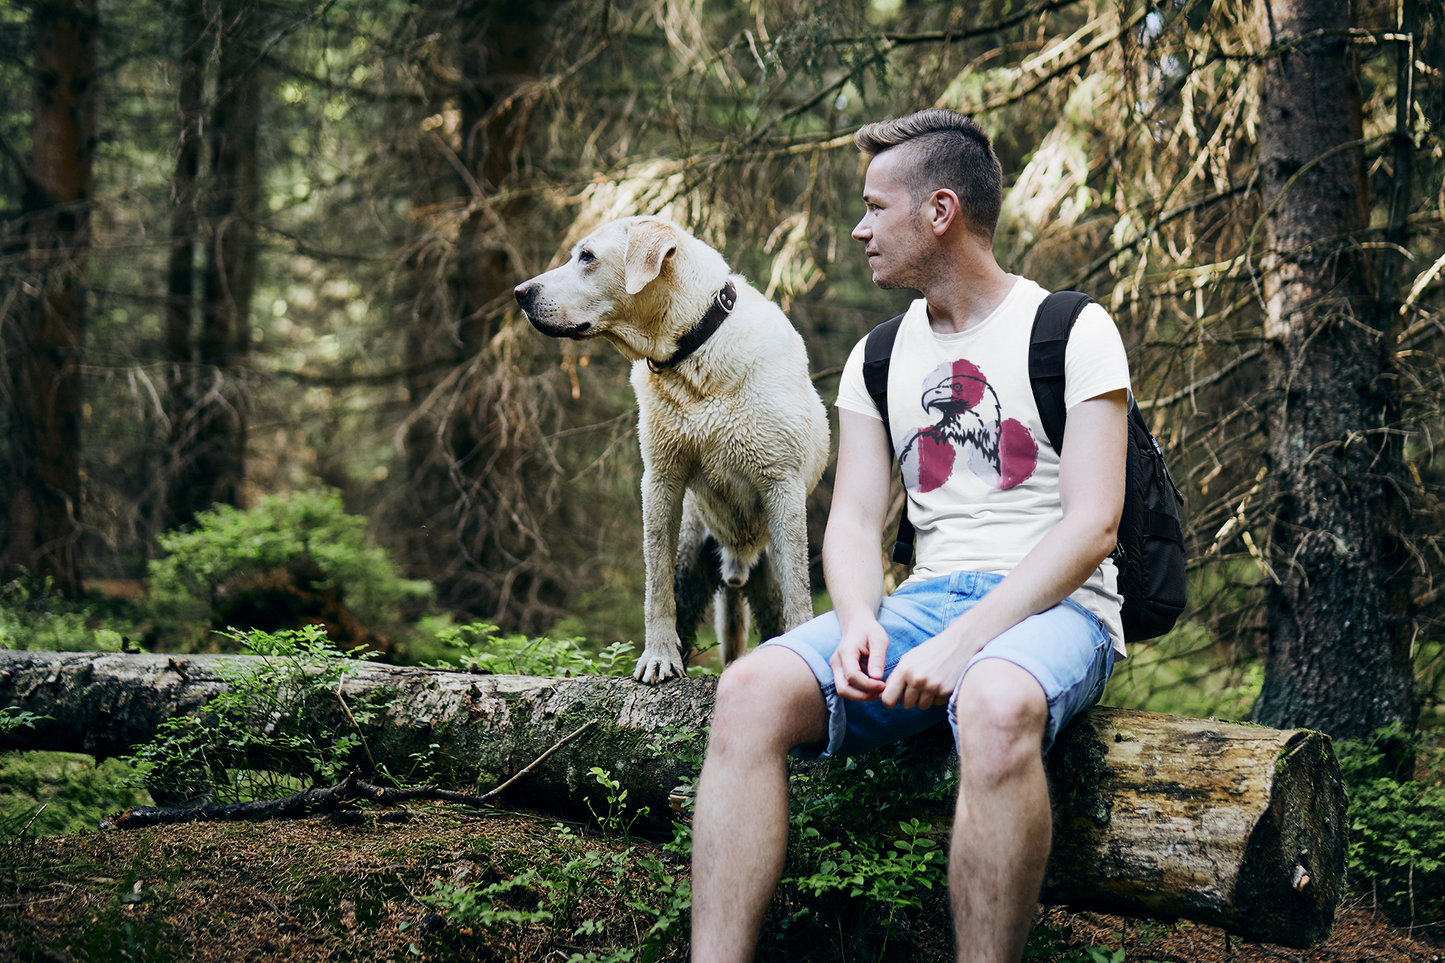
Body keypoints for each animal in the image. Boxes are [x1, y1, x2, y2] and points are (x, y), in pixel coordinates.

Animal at [514, 216, 832, 682]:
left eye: (587, 257)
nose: (520, 292)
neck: (694, 355)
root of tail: (737, 561)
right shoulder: (661, 481)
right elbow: (656, 586)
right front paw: (658, 657)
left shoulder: (782, 487)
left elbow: (800, 598)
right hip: (692, 552)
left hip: (766, 563)